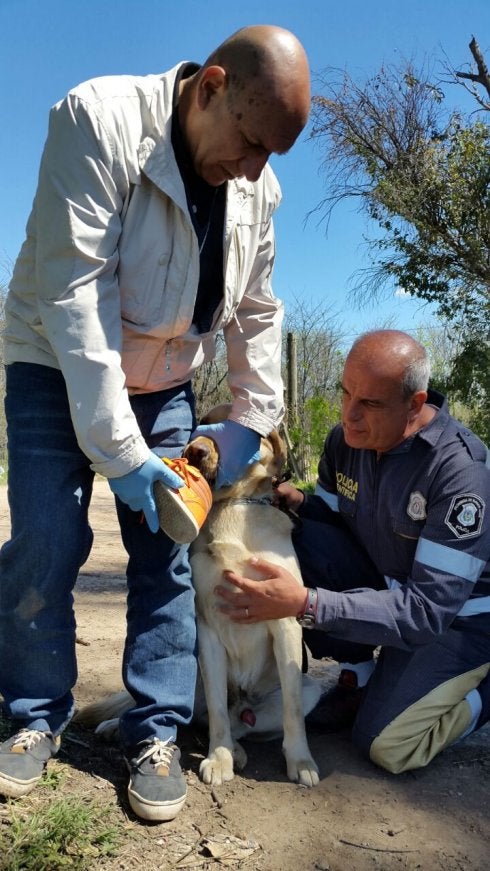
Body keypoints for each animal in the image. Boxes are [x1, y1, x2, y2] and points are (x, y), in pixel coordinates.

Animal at [75, 408, 322, 792]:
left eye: (238, 428)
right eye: (202, 423)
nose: (195, 450)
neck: (233, 508)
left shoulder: (285, 624)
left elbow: (292, 711)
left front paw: (300, 761)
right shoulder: (207, 628)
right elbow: (217, 711)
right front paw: (218, 758)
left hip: (312, 688)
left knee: (239, 721)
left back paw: (238, 747)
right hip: (191, 669)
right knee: (197, 715)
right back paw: (120, 727)